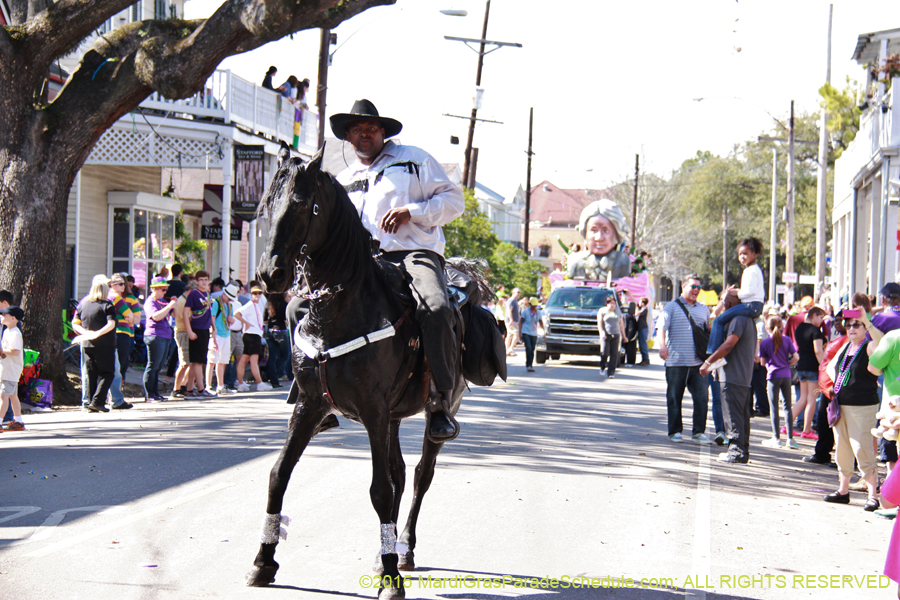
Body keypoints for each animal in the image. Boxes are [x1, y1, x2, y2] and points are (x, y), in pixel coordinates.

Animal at [243, 144, 474, 596]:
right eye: (265, 206)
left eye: (302, 204)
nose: (269, 273)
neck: (339, 311)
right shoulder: (312, 405)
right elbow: (279, 474)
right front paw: (263, 560)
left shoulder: (372, 410)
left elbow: (380, 490)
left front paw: (391, 580)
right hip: (393, 417)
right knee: (401, 472)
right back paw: (388, 549)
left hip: (433, 412)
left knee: (420, 476)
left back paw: (403, 549)